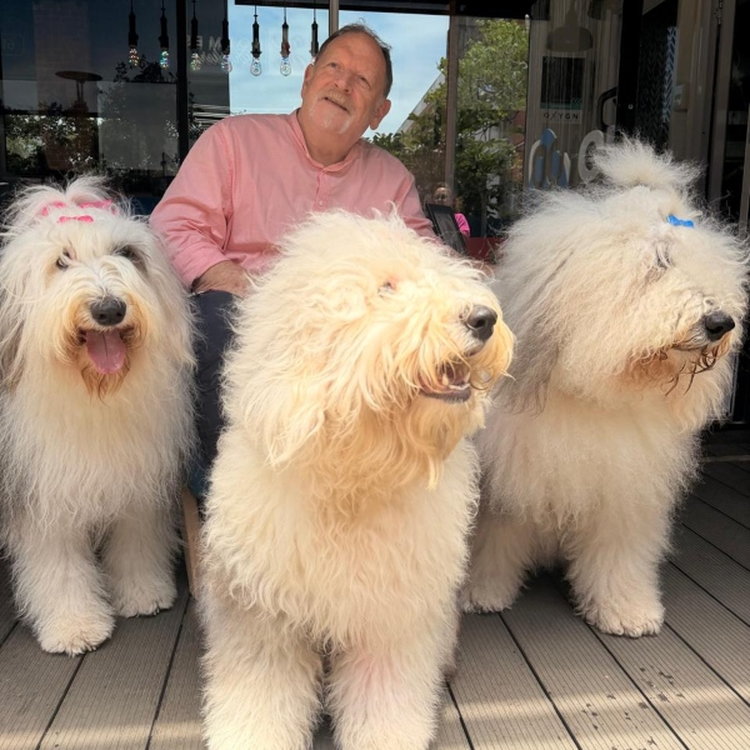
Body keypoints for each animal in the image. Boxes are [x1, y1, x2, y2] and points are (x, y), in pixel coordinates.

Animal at [0, 177, 194, 655]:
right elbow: (58, 566)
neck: (94, 395)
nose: (109, 309)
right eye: (61, 260)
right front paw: (75, 625)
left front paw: (143, 594)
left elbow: (137, 539)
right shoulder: (41, 495)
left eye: (126, 253)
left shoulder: (137, 481)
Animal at [198, 209, 513, 750]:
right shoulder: (263, 616)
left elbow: (386, 696)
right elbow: (260, 692)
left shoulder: (390, 617)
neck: (354, 474)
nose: (483, 318)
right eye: (386, 288)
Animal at [462, 138, 748, 637]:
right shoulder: (506, 489)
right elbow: (493, 542)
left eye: (710, 267)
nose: (720, 323)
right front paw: (482, 594)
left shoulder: (623, 494)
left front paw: (627, 612)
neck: (593, 394)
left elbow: (618, 555)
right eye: (658, 264)